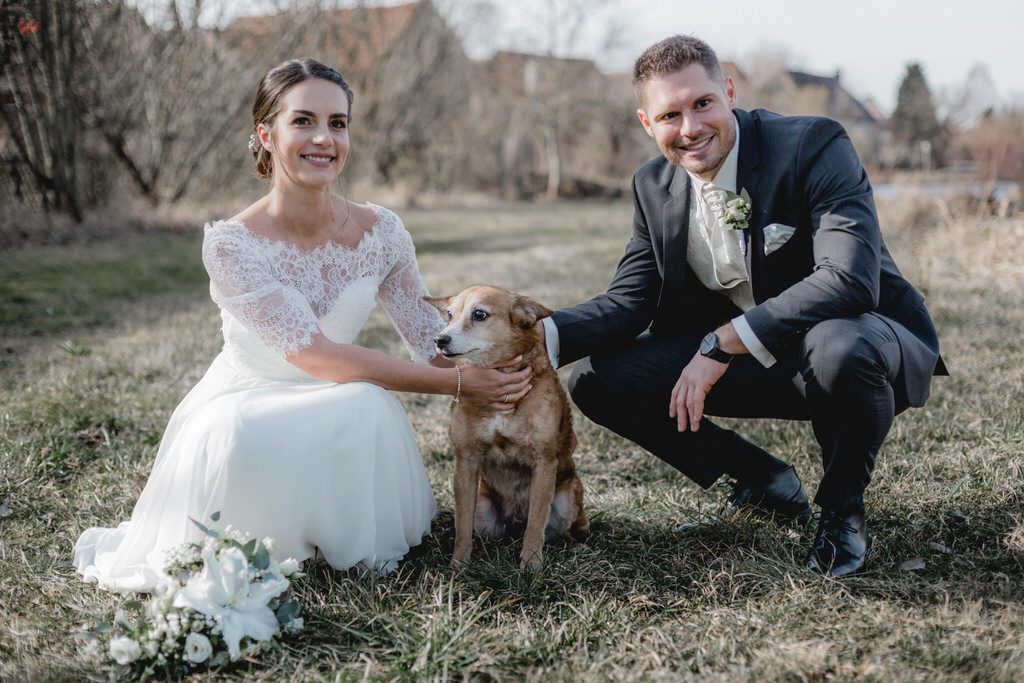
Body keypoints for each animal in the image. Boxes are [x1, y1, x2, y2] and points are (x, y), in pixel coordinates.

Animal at [425, 286, 589, 569]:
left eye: (479, 314)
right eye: (449, 314)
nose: (439, 340)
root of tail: (515, 518)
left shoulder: (544, 462)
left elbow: (536, 523)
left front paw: (531, 565)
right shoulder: (465, 461)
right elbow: (462, 525)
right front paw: (459, 564)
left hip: (568, 500)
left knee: (563, 529)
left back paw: (576, 546)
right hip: (484, 512)